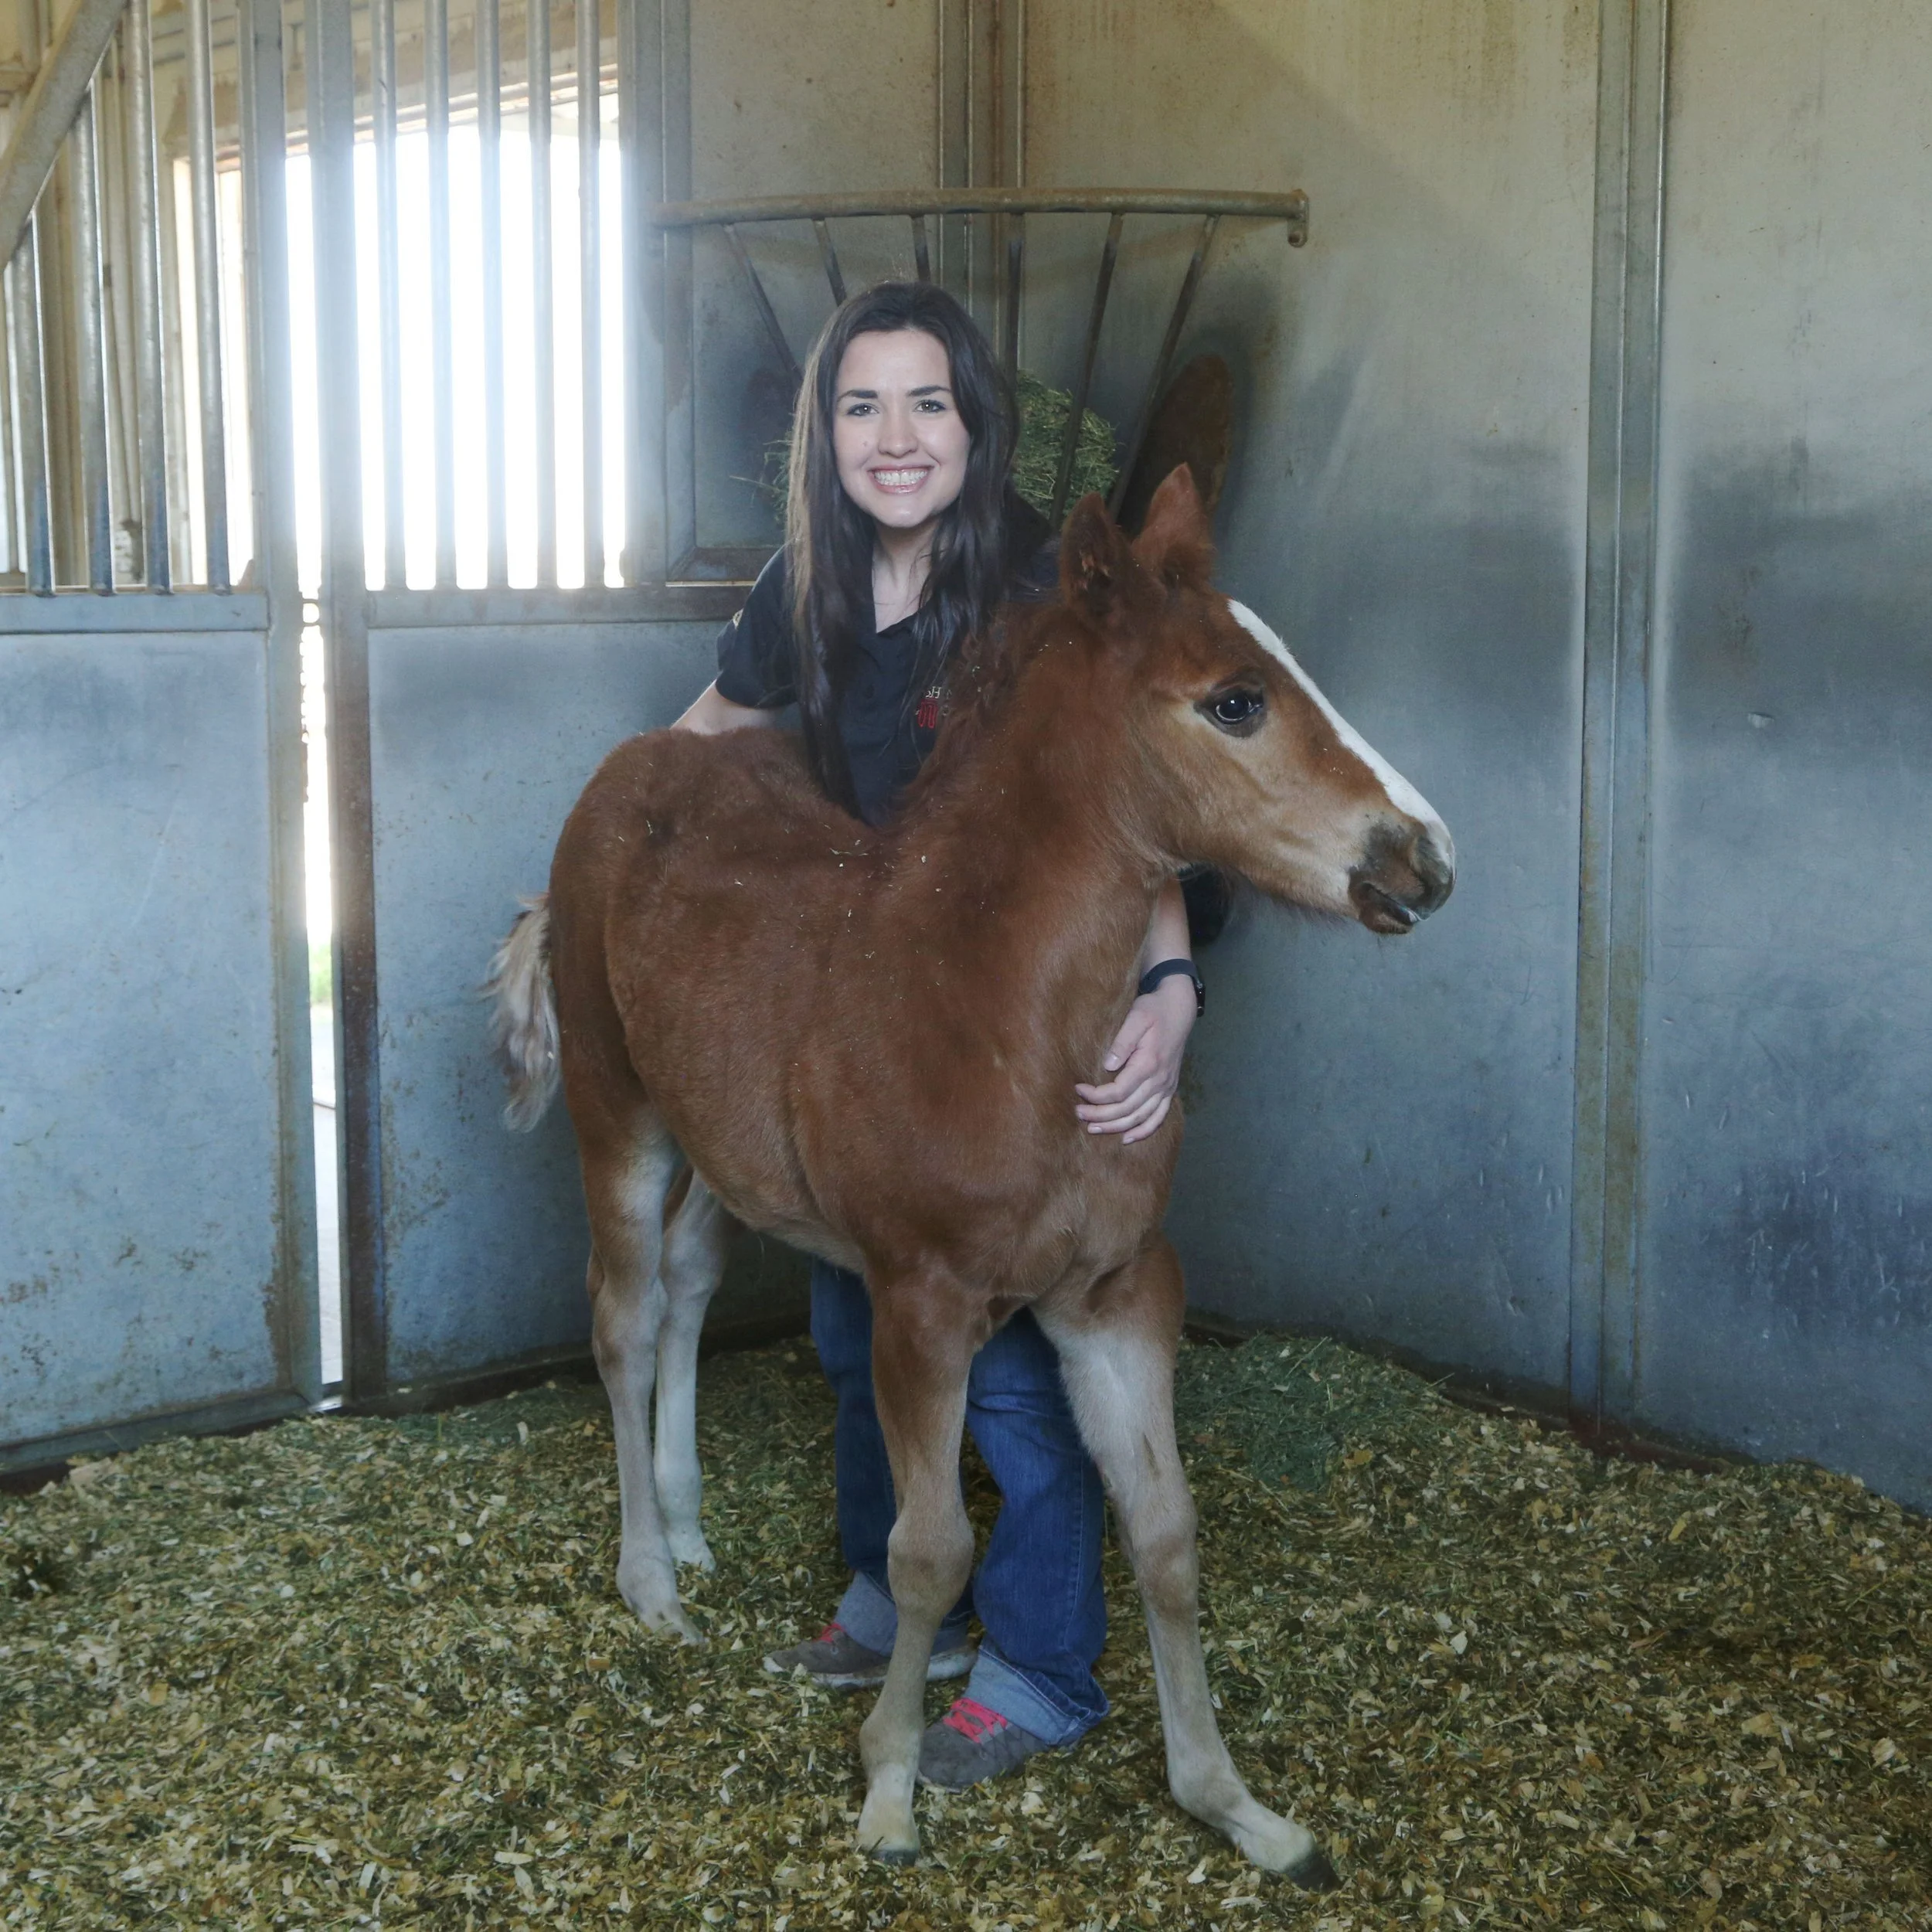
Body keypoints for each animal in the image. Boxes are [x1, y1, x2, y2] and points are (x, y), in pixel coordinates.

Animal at [486, 468, 1454, 1881]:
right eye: (1235, 699)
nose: (1422, 862)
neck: (1004, 1005)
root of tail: (635, 762)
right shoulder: (922, 1301)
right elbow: (931, 1546)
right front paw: (889, 1790)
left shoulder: (1117, 1296)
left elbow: (1163, 1534)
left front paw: (1237, 1807)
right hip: (619, 1109)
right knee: (622, 1315)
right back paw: (650, 1581)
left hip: (728, 1149)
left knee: (689, 1282)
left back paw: (687, 1518)